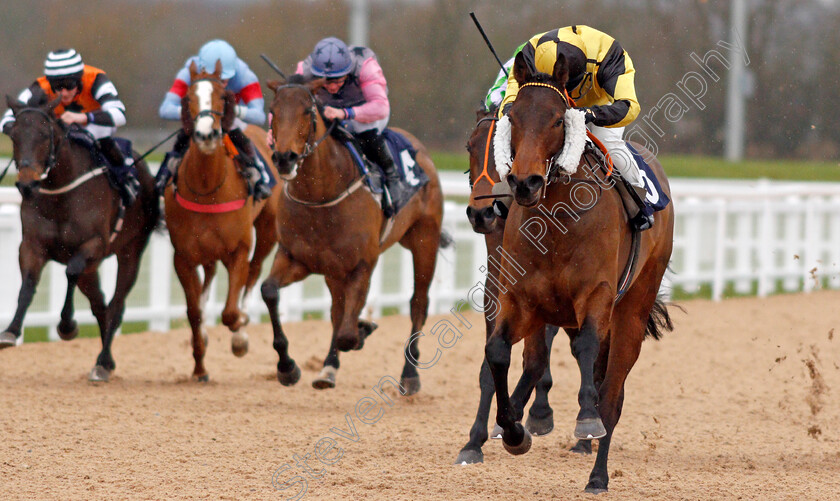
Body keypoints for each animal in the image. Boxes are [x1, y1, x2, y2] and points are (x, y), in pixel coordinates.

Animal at [0, 95, 158, 380]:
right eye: (14, 135)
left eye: (44, 134)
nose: (27, 184)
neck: (60, 194)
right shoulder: (31, 245)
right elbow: (28, 284)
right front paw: (11, 331)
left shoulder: (94, 245)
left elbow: (71, 271)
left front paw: (67, 325)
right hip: (93, 269)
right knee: (100, 305)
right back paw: (107, 362)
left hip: (131, 251)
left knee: (116, 305)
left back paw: (102, 362)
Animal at [163, 61, 282, 378]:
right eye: (188, 99)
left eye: (222, 97)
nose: (206, 134)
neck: (207, 188)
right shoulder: (183, 256)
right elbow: (194, 312)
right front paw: (199, 368)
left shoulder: (238, 250)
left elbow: (230, 312)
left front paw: (240, 334)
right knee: (208, 278)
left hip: (268, 230)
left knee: (254, 270)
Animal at [262, 74, 446, 390]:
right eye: (273, 111)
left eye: (307, 111)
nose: (284, 158)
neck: (321, 196)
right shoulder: (295, 258)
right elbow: (270, 291)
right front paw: (288, 367)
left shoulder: (363, 264)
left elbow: (348, 333)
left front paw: (361, 329)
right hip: (334, 270)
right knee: (337, 310)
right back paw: (328, 368)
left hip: (425, 240)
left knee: (418, 304)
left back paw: (409, 374)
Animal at [486, 51, 676, 492]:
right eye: (513, 116)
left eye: (559, 119)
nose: (525, 182)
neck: (556, 222)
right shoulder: (522, 300)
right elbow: (499, 351)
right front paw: (513, 431)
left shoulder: (596, 296)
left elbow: (588, 353)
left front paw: (586, 421)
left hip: (633, 309)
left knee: (613, 393)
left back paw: (598, 475)